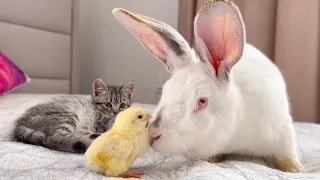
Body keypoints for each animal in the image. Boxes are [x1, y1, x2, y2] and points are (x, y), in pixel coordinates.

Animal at [112, 0, 304, 172]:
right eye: (164, 92)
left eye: (202, 102)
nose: (153, 134)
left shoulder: (282, 132)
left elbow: (287, 155)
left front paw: (296, 169)